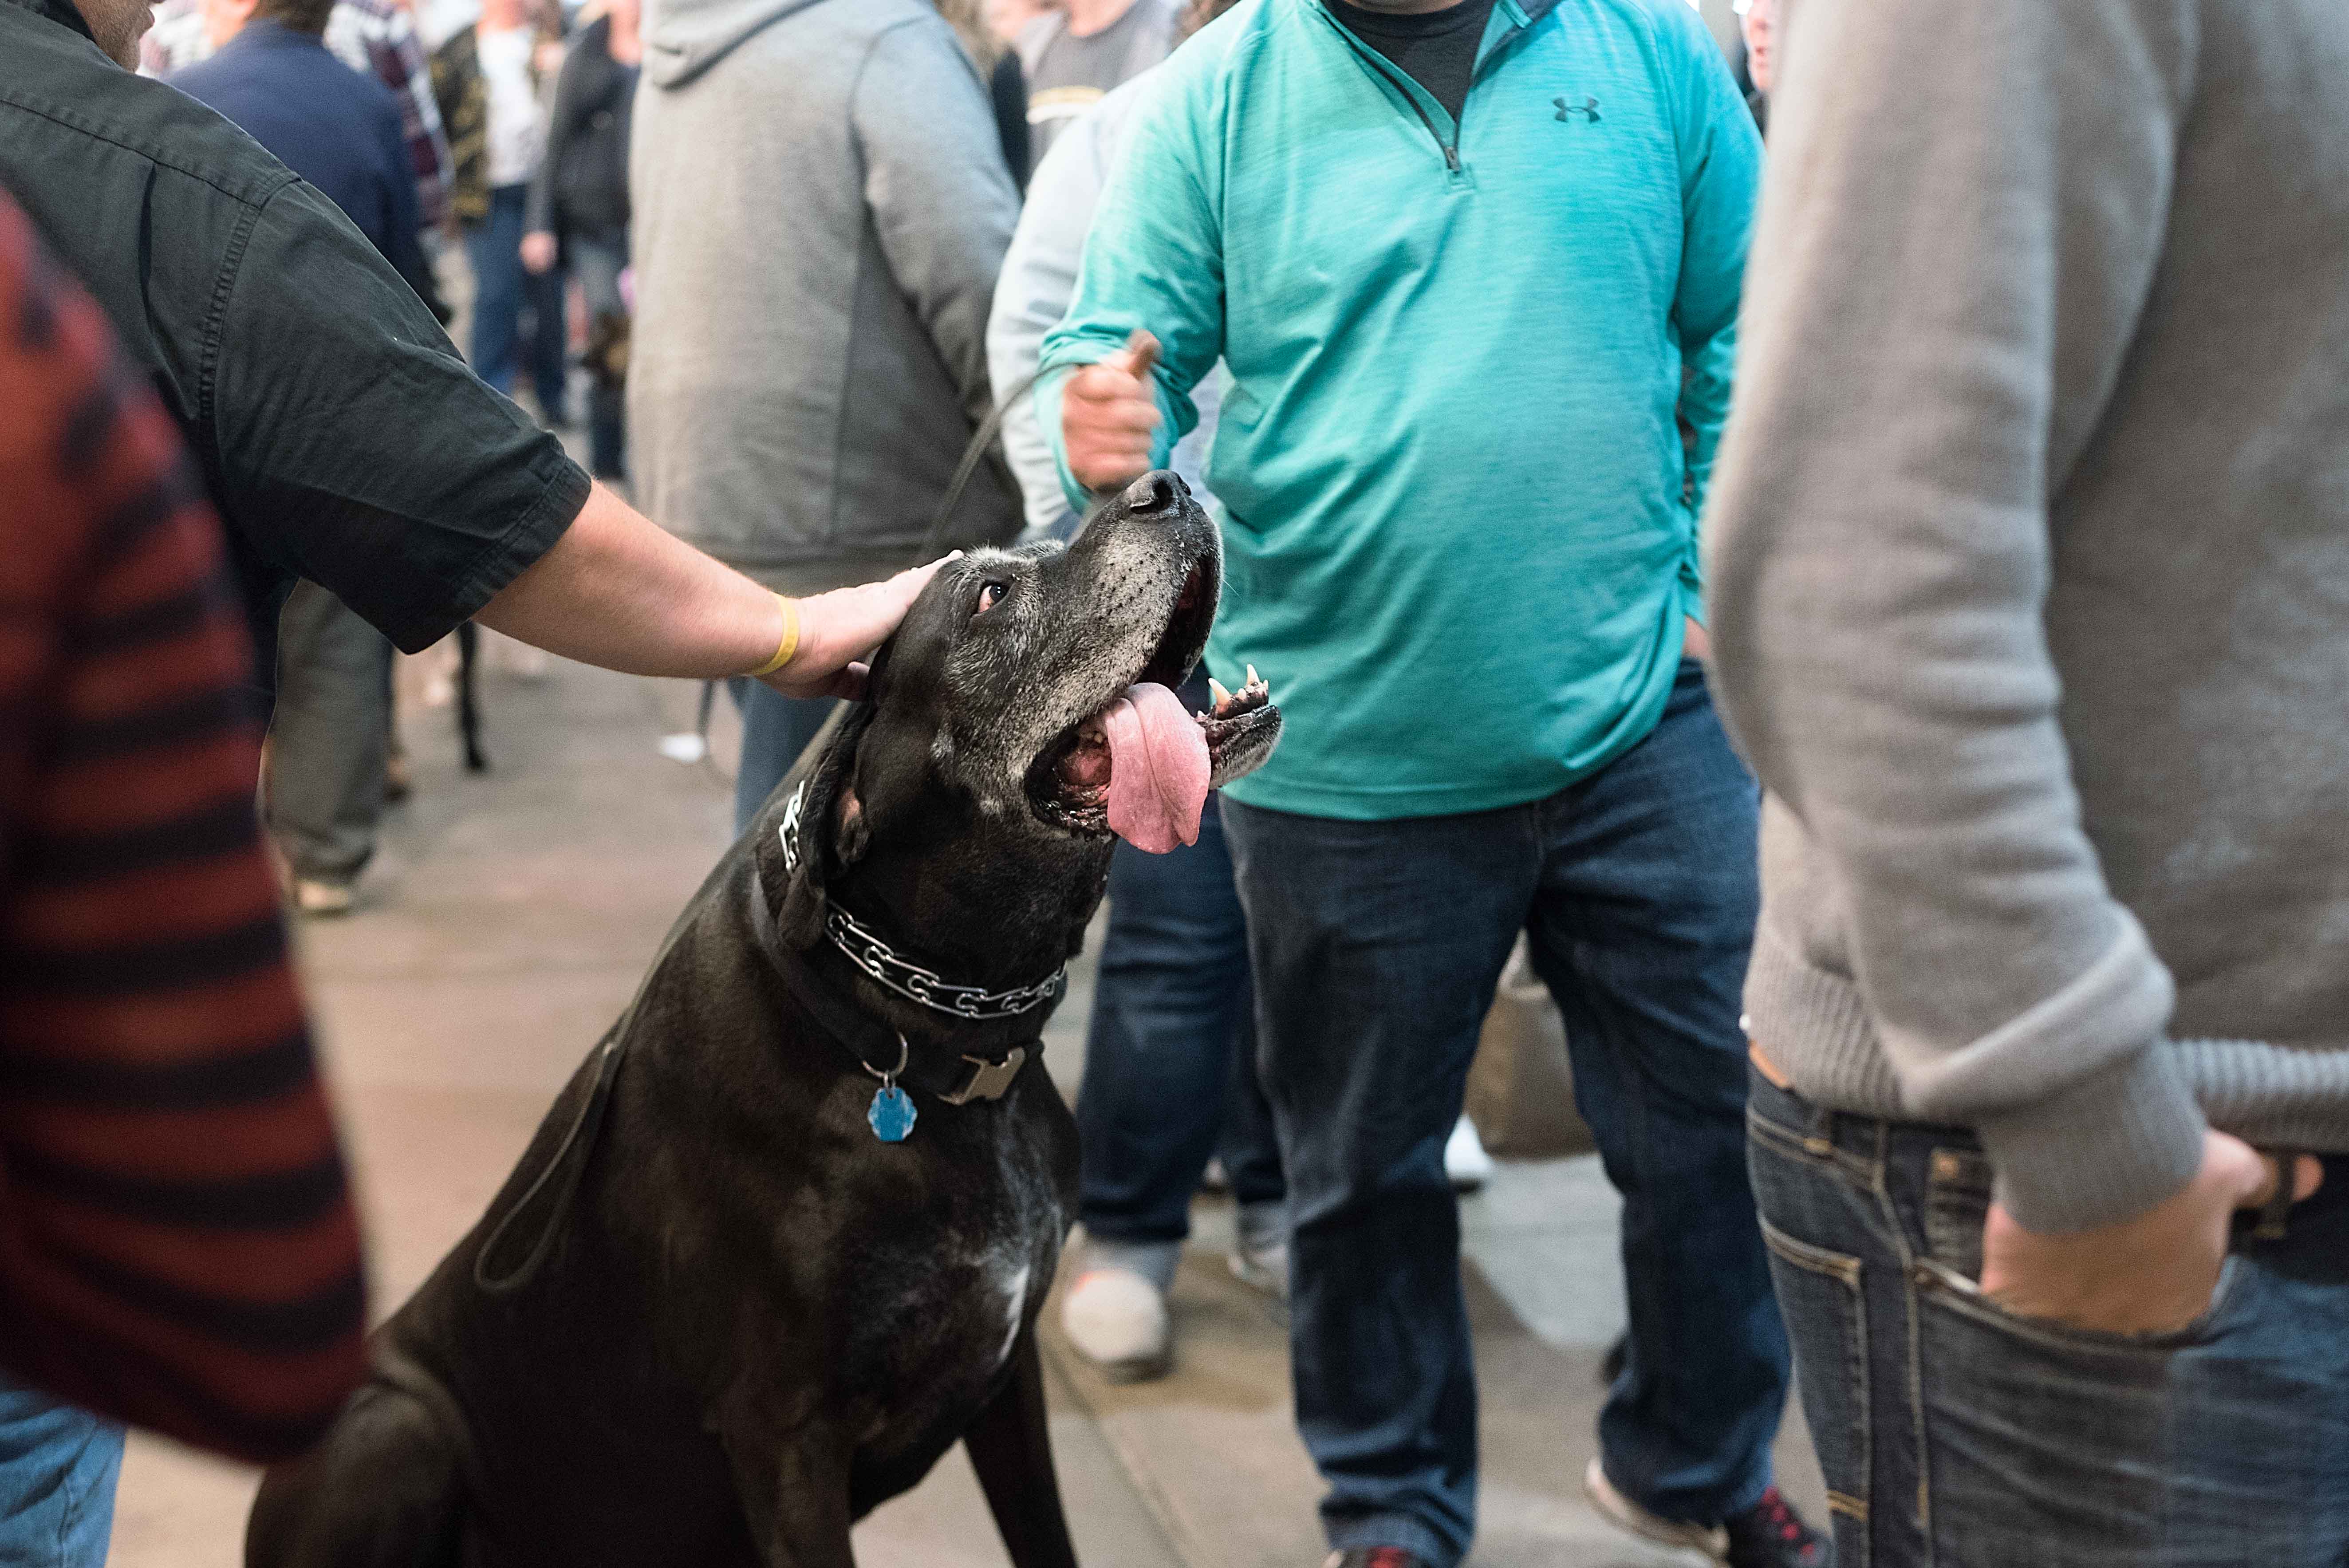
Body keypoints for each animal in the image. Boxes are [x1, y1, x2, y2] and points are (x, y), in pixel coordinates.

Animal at [246, 471, 1280, 1568]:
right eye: (989, 595)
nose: (1166, 482)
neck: (933, 1032)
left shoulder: (1006, 1380)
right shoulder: (786, 1435)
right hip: (392, 1429)